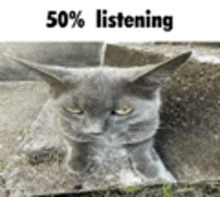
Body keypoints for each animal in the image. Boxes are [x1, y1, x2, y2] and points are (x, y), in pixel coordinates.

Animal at [5, 51, 191, 183]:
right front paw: (77, 163)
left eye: (123, 110)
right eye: (74, 109)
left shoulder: (150, 120)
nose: (95, 132)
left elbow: (142, 144)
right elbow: (74, 140)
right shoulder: (63, 121)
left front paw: (150, 168)